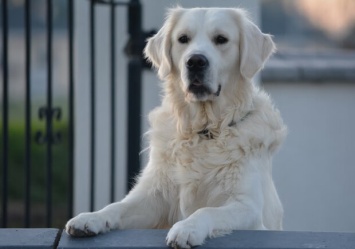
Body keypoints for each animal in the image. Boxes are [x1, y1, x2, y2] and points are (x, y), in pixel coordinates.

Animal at [67, 6, 288, 248]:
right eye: (183, 39)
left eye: (221, 39)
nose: (195, 61)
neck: (204, 131)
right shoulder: (154, 197)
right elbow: (118, 206)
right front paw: (91, 218)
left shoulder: (247, 206)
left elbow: (206, 210)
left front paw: (186, 229)